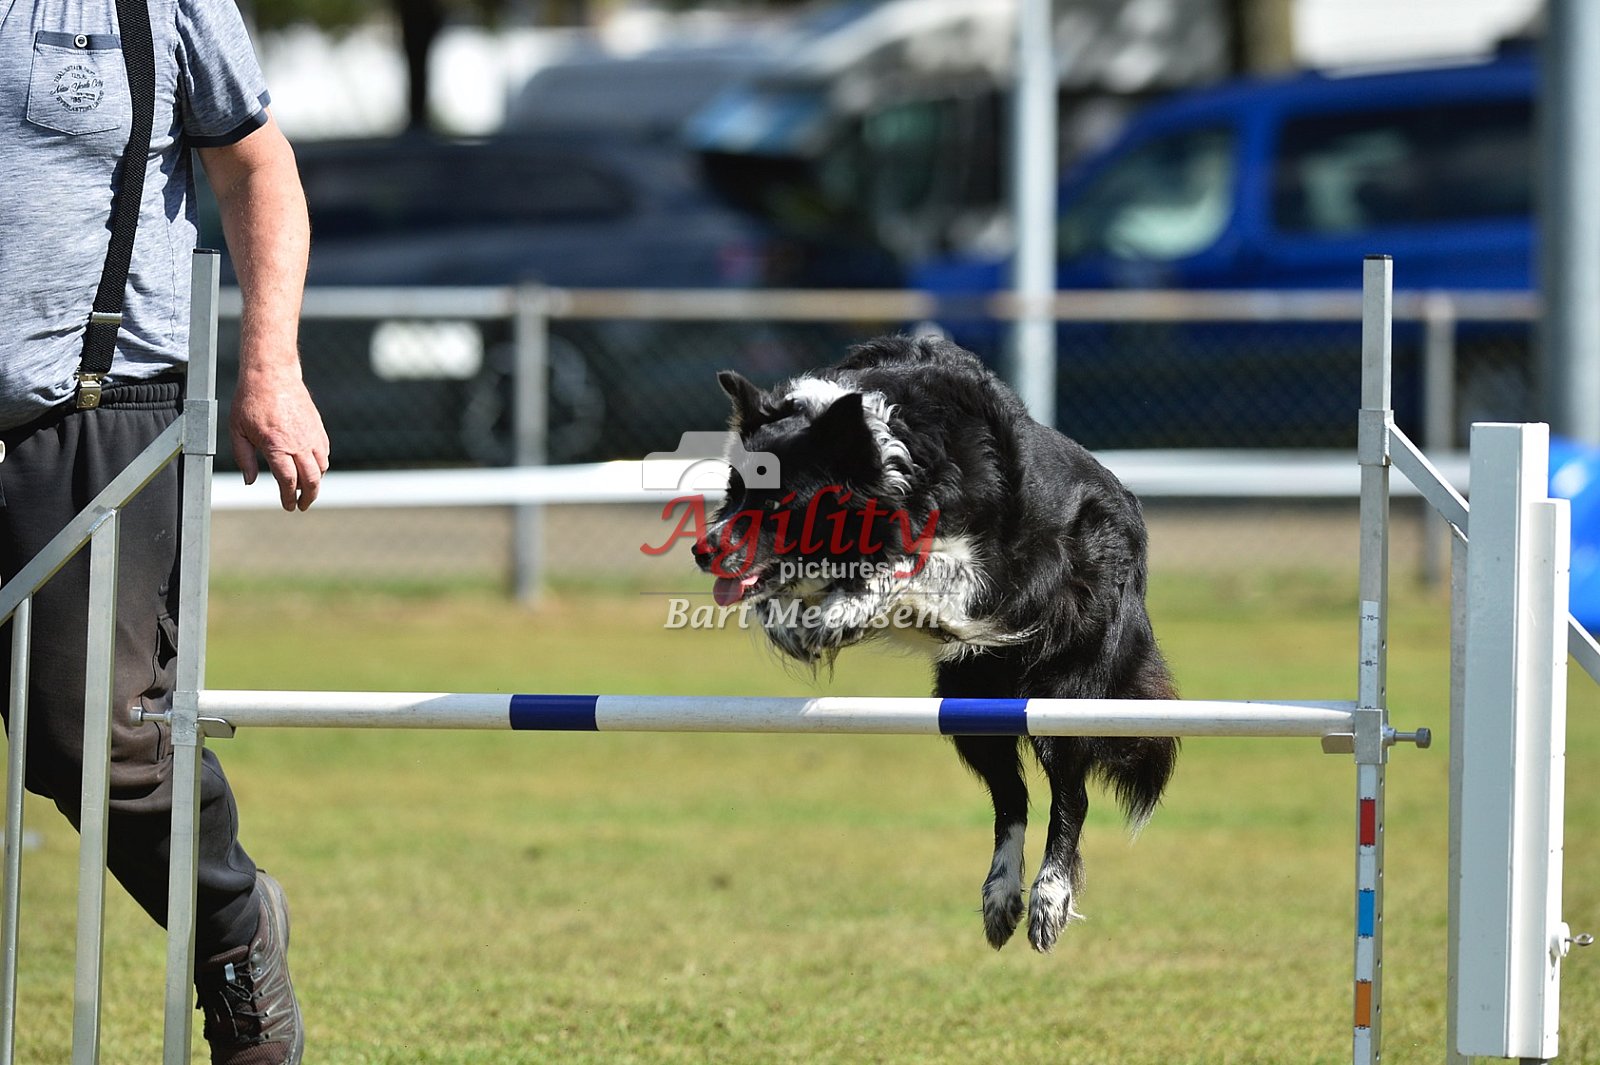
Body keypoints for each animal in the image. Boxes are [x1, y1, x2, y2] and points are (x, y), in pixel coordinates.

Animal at [692, 334, 1178, 953]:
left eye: (780, 503)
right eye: (733, 491)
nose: (702, 550)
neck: (893, 453)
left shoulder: (995, 578)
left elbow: (914, 568)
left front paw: (844, 609)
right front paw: (802, 622)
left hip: (1065, 695)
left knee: (1071, 792)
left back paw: (1049, 901)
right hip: (969, 703)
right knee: (1010, 798)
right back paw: (1000, 898)